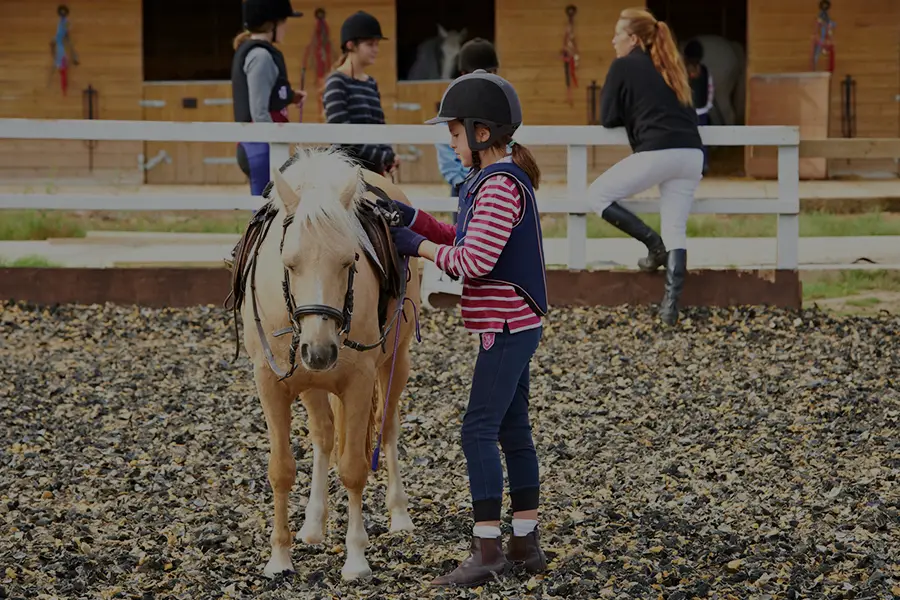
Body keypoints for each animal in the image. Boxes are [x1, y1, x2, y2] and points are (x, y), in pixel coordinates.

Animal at [225, 147, 422, 581]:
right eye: (289, 262)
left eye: (349, 261)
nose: (319, 351)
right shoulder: (270, 382)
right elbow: (281, 469)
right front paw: (279, 558)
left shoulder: (360, 381)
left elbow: (353, 469)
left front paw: (357, 559)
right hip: (312, 385)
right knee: (324, 436)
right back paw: (313, 524)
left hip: (396, 363)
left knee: (387, 427)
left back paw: (399, 515)